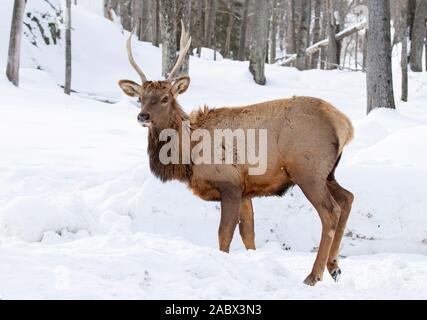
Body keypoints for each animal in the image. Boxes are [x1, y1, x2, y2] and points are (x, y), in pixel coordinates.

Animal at [118, 23, 356, 288]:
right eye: (140, 98)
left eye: (165, 98)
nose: (143, 116)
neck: (187, 156)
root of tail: (345, 125)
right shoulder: (245, 191)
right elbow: (248, 235)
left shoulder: (229, 184)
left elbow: (224, 234)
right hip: (328, 173)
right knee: (348, 198)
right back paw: (334, 267)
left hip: (308, 171)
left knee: (330, 212)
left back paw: (314, 275)